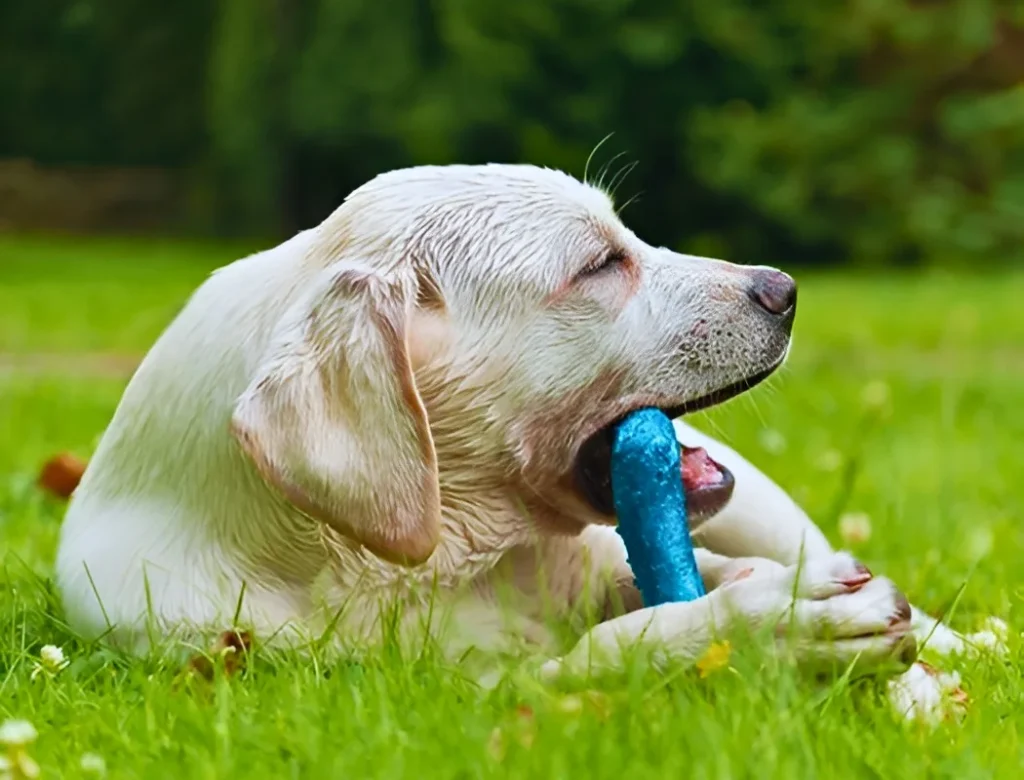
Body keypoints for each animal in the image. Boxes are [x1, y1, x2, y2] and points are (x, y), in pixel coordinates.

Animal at [54, 162, 999, 716]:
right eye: (599, 265)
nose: (787, 289)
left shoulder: (603, 559)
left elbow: (685, 580)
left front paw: (888, 662)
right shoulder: (453, 700)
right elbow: (605, 654)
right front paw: (778, 631)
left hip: (762, 502)